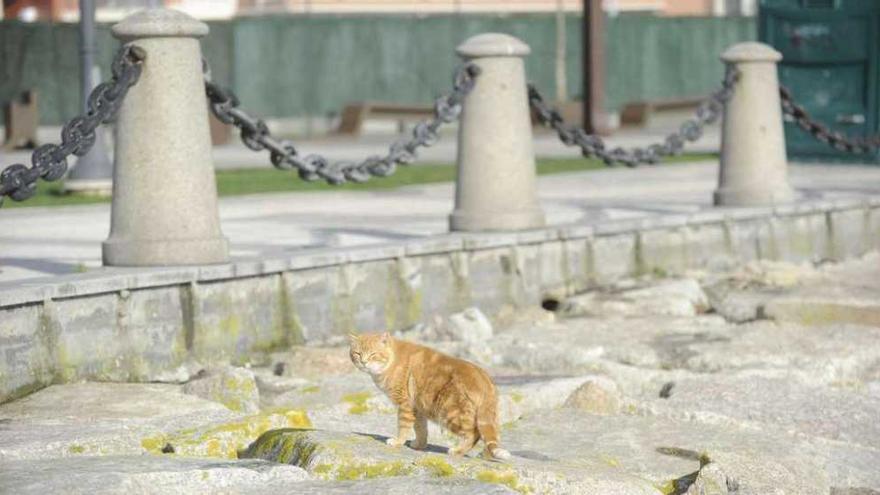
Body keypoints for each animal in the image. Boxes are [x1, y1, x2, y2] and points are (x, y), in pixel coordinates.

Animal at [346, 334, 508, 462]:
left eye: (373, 354)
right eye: (357, 353)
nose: (363, 362)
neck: (391, 361)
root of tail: (485, 378)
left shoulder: (404, 404)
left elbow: (403, 427)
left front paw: (398, 442)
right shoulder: (417, 407)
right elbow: (420, 429)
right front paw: (419, 445)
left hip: (450, 413)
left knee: (473, 434)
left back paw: (457, 451)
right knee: (492, 436)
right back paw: (483, 455)